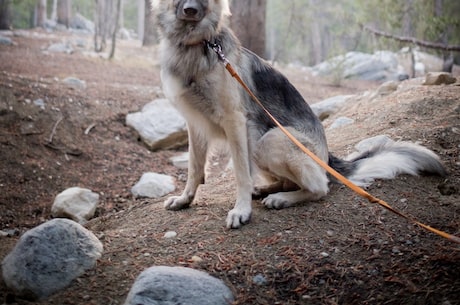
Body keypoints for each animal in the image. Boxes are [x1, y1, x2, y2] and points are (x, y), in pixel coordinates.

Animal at [155, 0, 446, 228]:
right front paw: (185, 199)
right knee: (289, 182)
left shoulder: (235, 120)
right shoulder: (195, 124)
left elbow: (240, 174)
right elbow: (194, 168)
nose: (190, 11)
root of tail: (328, 159)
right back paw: (267, 189)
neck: (197, 45)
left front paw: (241, 210)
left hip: (268, 140)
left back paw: (282, 198)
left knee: (319, 187)